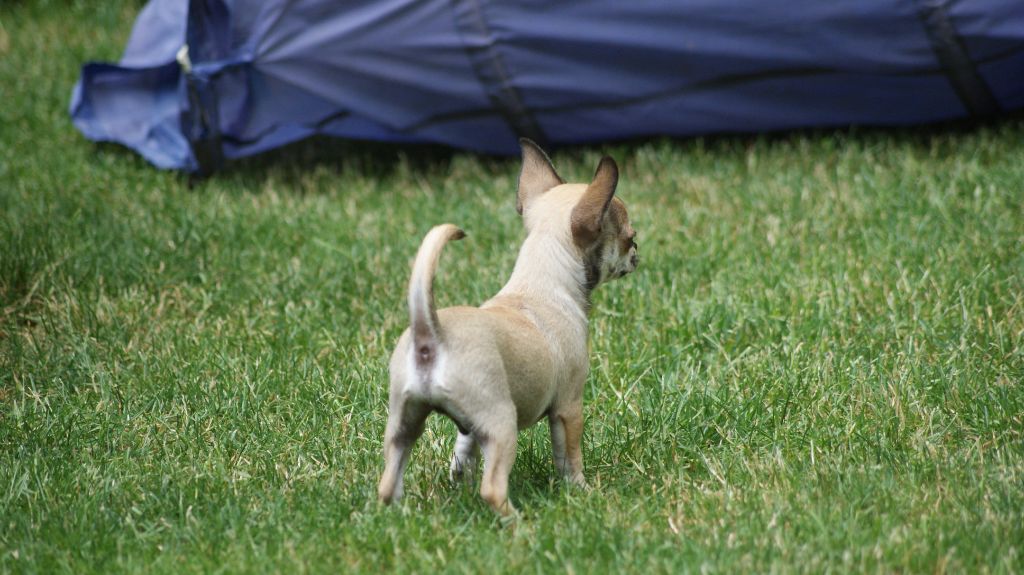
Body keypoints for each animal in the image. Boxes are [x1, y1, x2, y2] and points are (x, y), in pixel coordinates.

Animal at [376, 139, 634, 515]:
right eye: (630, 237)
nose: (637, 254)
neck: (541, 282)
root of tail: (431, 333)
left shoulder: (468, 427)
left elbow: (462, 453)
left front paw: (459, 481)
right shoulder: (569, 405)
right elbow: (569, 457)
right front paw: (581, 491)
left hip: (403, 420)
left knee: (389, 478)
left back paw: (399, 514)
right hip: (502, 423)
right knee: (493, 488)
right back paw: (517, 519)